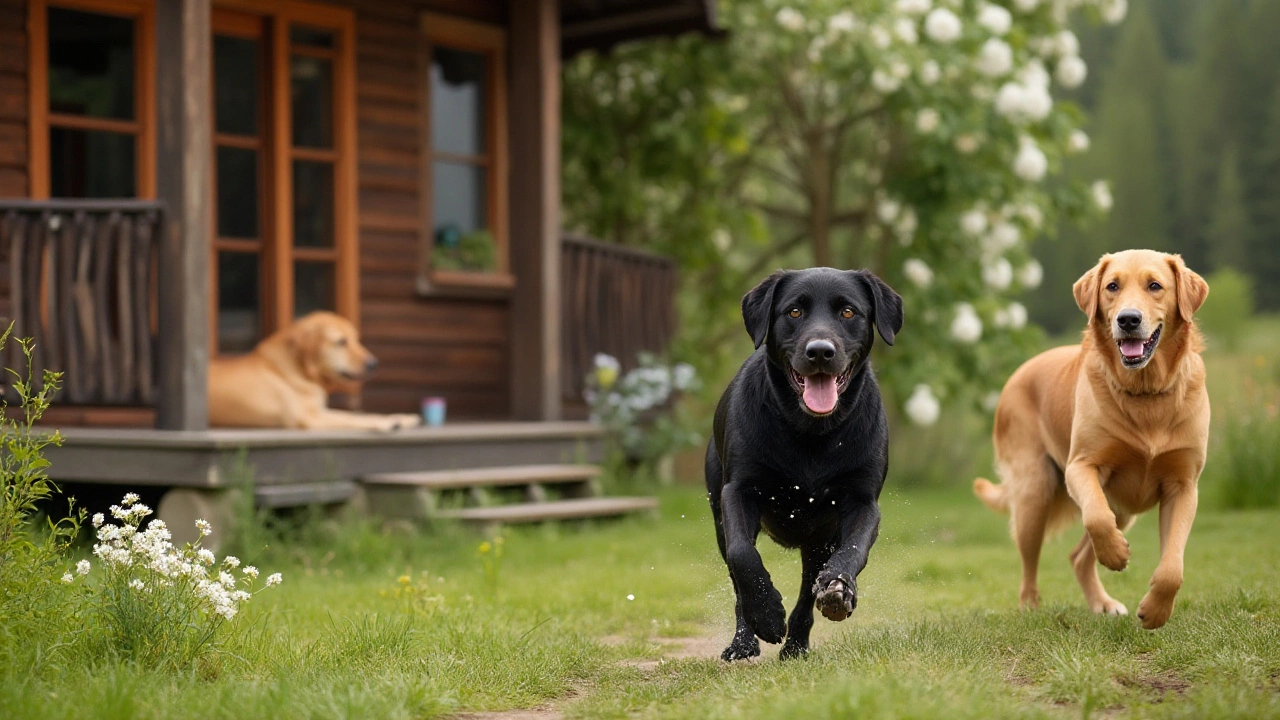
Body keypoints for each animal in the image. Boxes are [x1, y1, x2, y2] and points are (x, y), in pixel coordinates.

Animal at [207, 310, 422, 427]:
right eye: (341, 342)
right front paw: (386, 424)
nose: (373, 363)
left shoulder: (319, 410)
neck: (300, 371)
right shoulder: (309, 417)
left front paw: (404, 419)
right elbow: (351, 418)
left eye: (356, 339)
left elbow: (360, 413)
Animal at [711, 266, 901, 661]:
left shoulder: (862, 501)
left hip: (817, 541)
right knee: (736, 577)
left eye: (848, 312)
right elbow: (743, 556)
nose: (820, 352)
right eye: (794, 312)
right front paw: (767, 615)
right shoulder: (737, 491)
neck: (812, 433)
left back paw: (798, 643)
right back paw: (744, 641)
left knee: (806, 592)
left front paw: (839, 589)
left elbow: (854, 549)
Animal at [977, 249, 1208, 625]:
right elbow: (1097, 518)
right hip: (1035, 493)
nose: (1128, 319)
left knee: (1078, 556)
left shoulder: (1183, 486)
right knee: (1030, 564)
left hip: (1124, 509)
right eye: (1112, 286)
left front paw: (1155, 611)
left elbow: (1173, 565)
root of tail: (1017, 374)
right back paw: (1031, 609)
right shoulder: (1081, 467)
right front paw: (1115, 554)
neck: (1146, 393)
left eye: (1155, 285)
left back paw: (1104, 603)